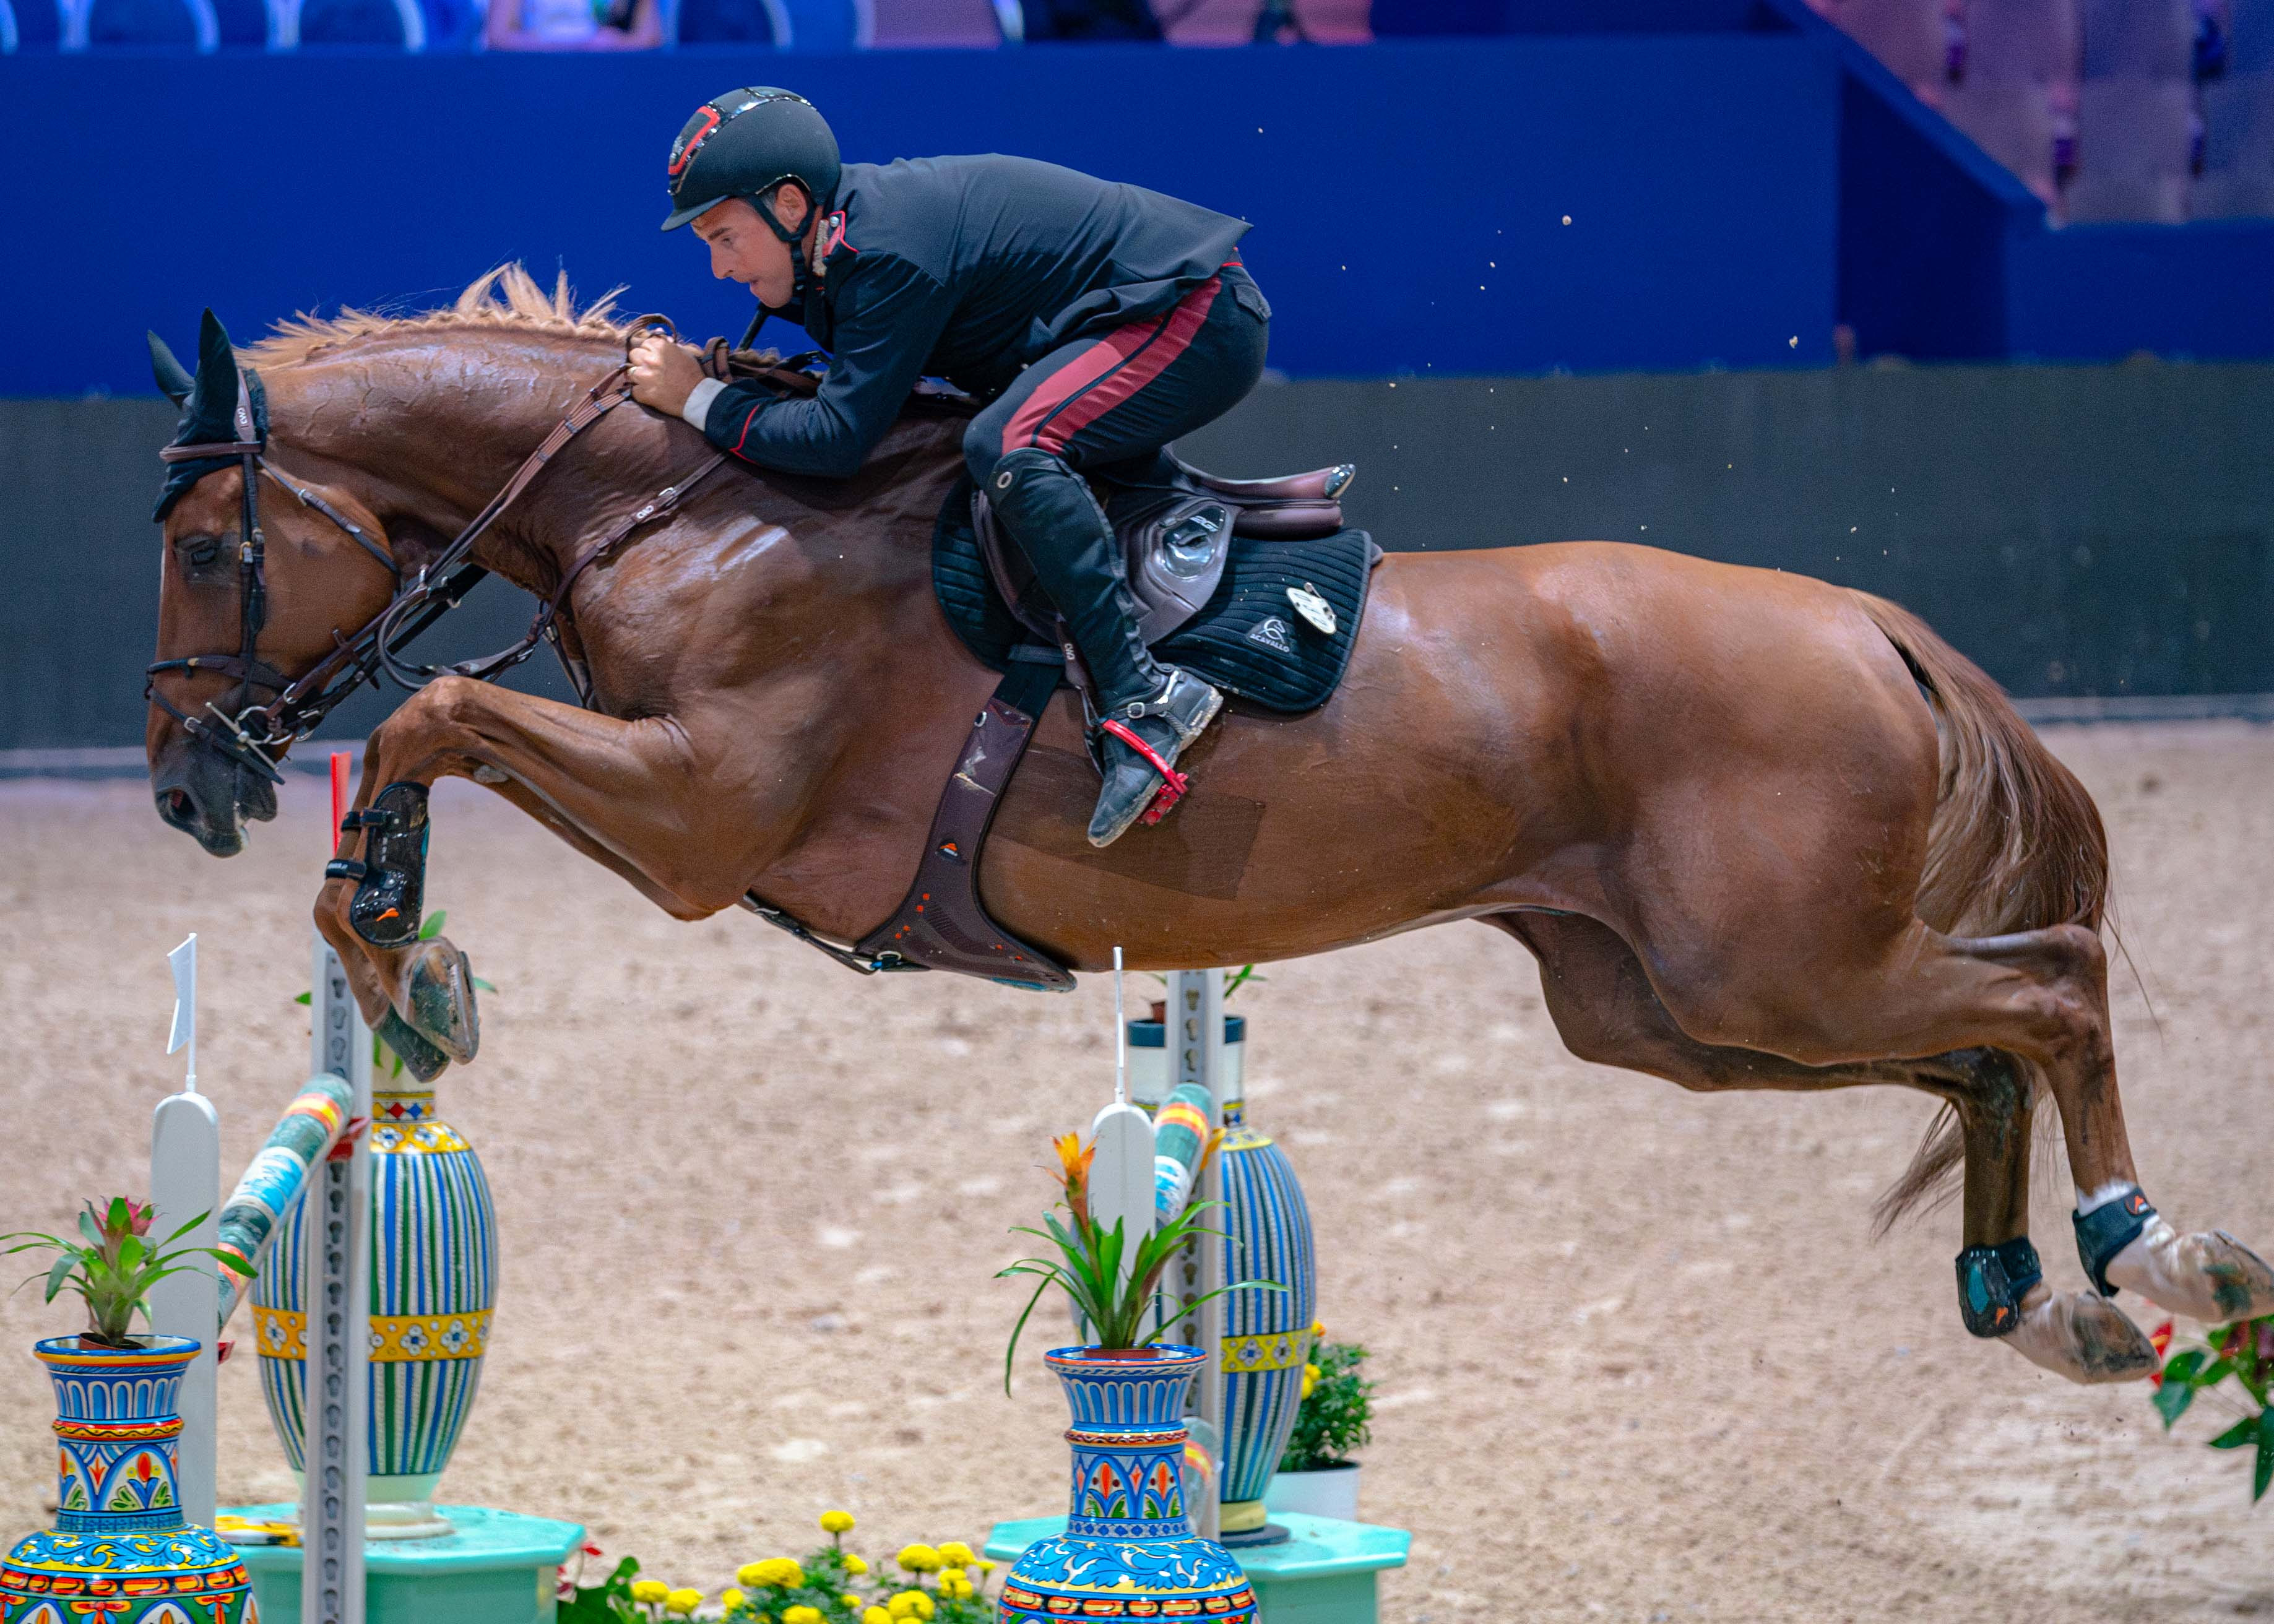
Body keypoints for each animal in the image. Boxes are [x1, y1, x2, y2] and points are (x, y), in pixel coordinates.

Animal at [142, 267, 2274, 1387]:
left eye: (204, 550)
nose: (184, 783)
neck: (695, 504)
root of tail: (1870, 626)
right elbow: (434, 733)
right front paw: (408, 962)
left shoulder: (698, 817)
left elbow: (435, 713)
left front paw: (409, 959)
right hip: (1672, 1008)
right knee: (1979, 1045)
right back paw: (2031, 1298)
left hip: (1777, 968)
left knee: (2050, 986)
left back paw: (2155, 1251)